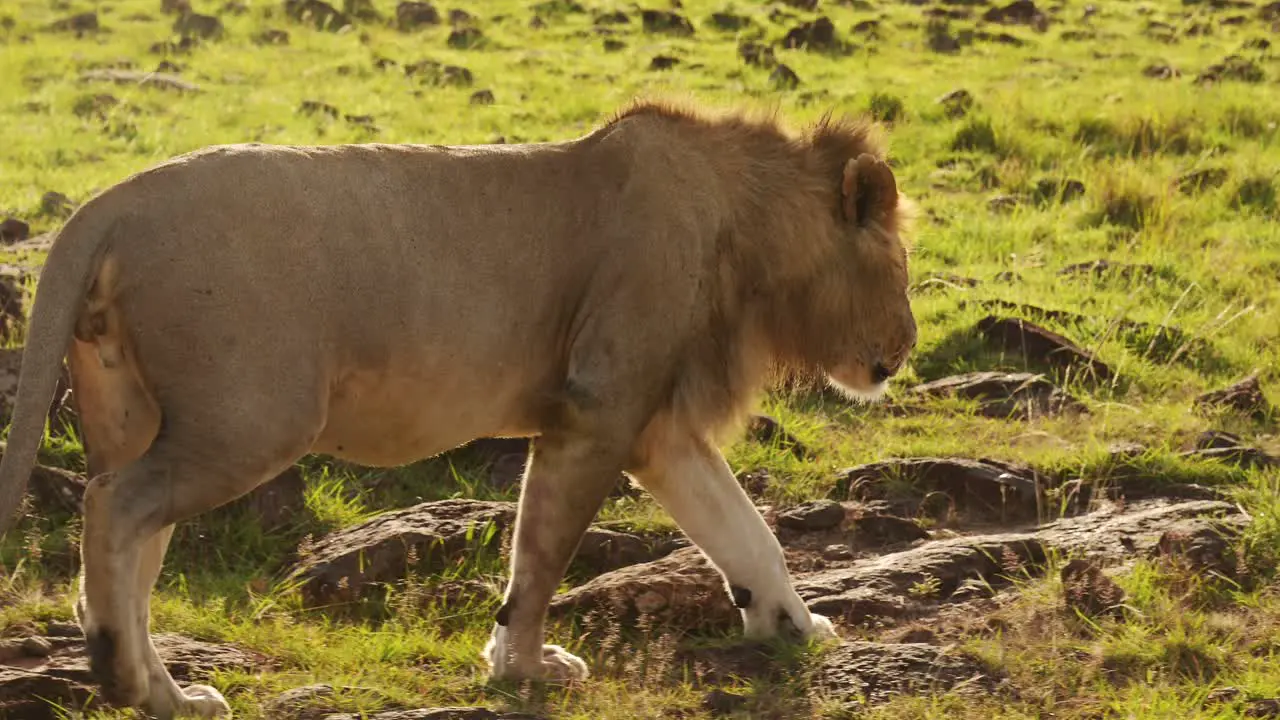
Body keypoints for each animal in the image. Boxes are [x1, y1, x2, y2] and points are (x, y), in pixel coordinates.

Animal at [0, 98, 921, 712]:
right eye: (899, 266)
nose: (905, 348)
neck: (749, 231)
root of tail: (109, 201)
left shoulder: (658, 429)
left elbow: (744, 531)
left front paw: (796, 625)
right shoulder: (598, 408)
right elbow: (541, 555)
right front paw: (525, 668)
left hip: (139, 415)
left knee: (132, 539)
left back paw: (170, 692)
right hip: (252, 421)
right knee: (115, 507)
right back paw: (126, 679)